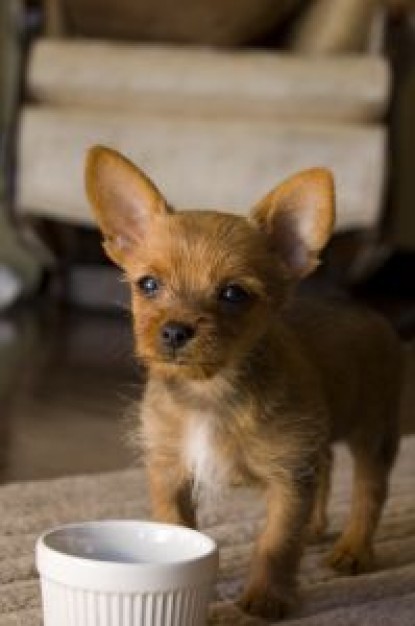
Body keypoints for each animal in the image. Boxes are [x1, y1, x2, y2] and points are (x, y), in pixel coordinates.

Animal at [85, 146, 404, 620]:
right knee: (328, 466)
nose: (175, 331)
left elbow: (277, 541)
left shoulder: (288, 477)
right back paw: (316, 527)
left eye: (234, 294)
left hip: (374, 434)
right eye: (148, 284)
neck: (210, 393)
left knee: (370, 490)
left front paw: (266, 598)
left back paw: (354, 550)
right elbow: (175, 523)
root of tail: (371, 313)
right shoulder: (170, 471)